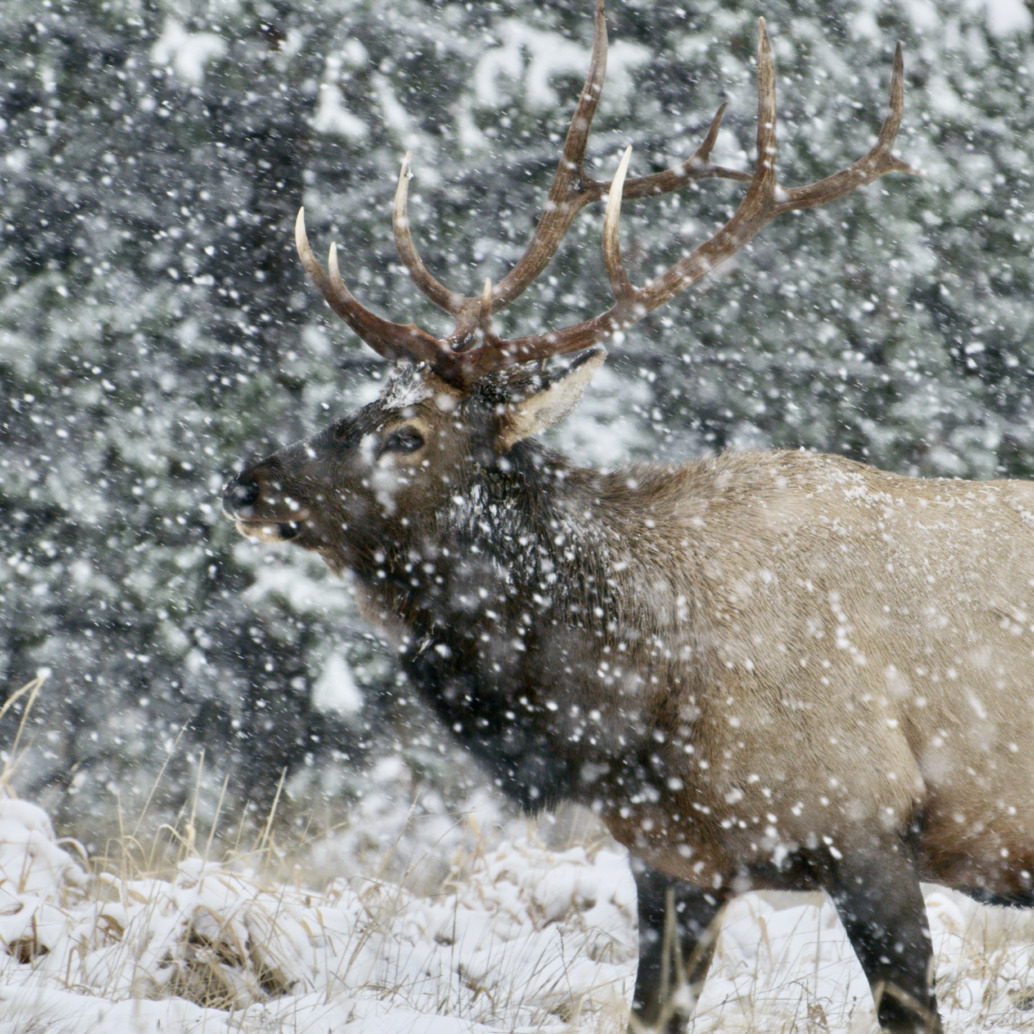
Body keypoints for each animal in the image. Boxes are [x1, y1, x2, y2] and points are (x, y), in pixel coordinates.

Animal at [221, 4, 1027, 1032]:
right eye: (366, 401)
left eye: (406, 433)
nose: (248, 483)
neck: (636, 702)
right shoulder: (674, 861)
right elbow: (649, 1011)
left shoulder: (868, 828)